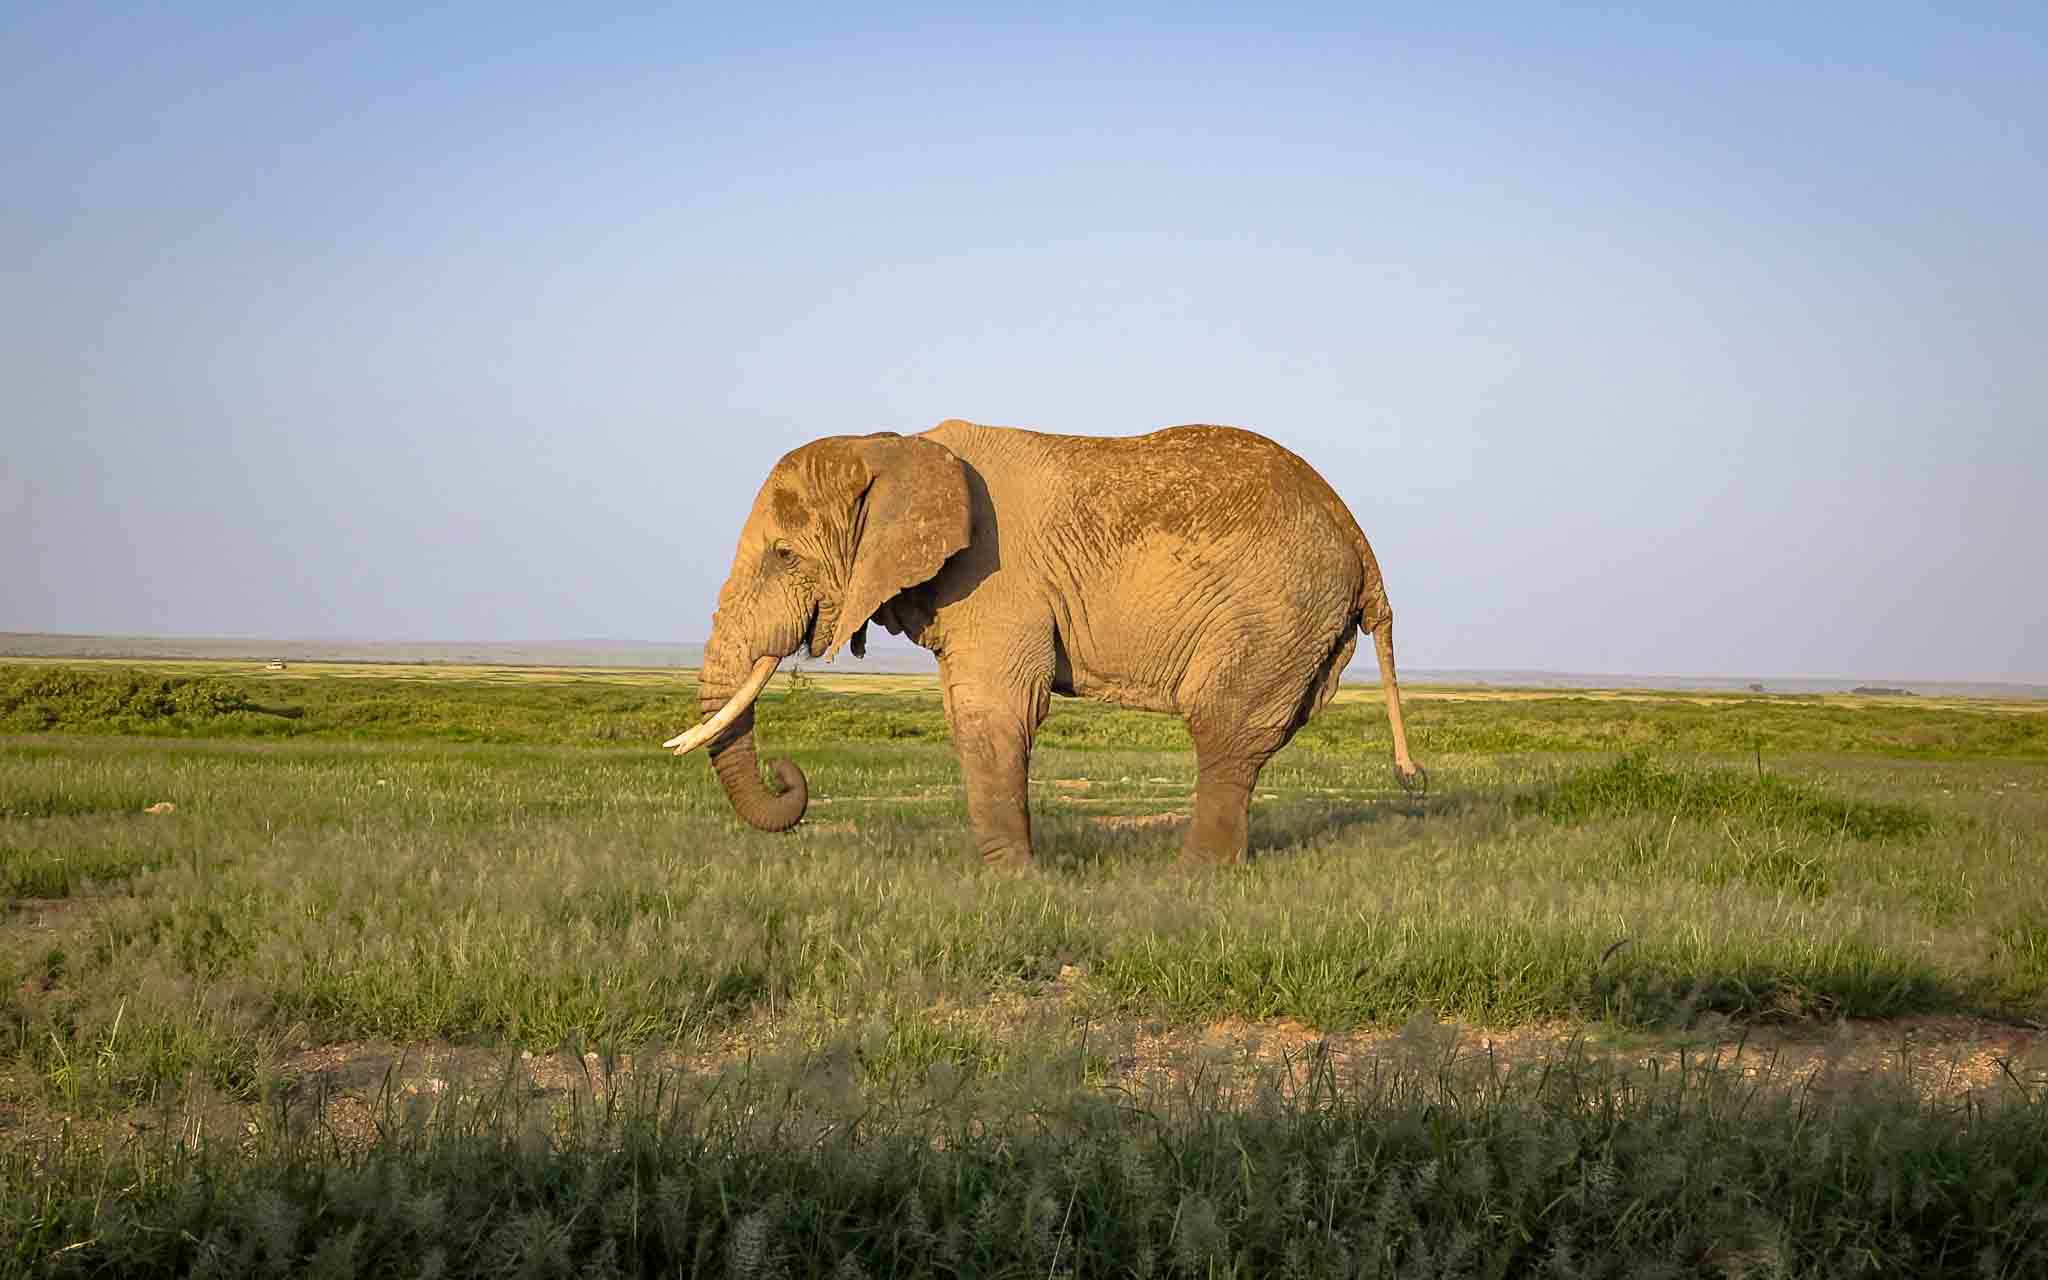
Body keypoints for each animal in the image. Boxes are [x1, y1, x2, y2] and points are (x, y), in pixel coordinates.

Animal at [671, 413, 1425, 864]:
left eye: (783, 556)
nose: (786, 773)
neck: (896, 446)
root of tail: (1357, 535)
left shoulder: (997, 578)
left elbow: (995, 711)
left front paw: (1011, 884)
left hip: (1276, 608)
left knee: (1223, 726)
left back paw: (1191, 880)